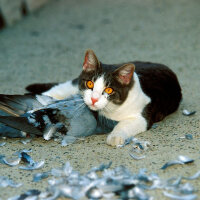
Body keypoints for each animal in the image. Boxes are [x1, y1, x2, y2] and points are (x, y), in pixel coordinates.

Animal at [27, 49, 183, 147]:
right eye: (90, 84)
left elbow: (126, 124)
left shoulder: (143, 114)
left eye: (109, 90)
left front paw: (115, 137)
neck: (110, 109)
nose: (94, 99)